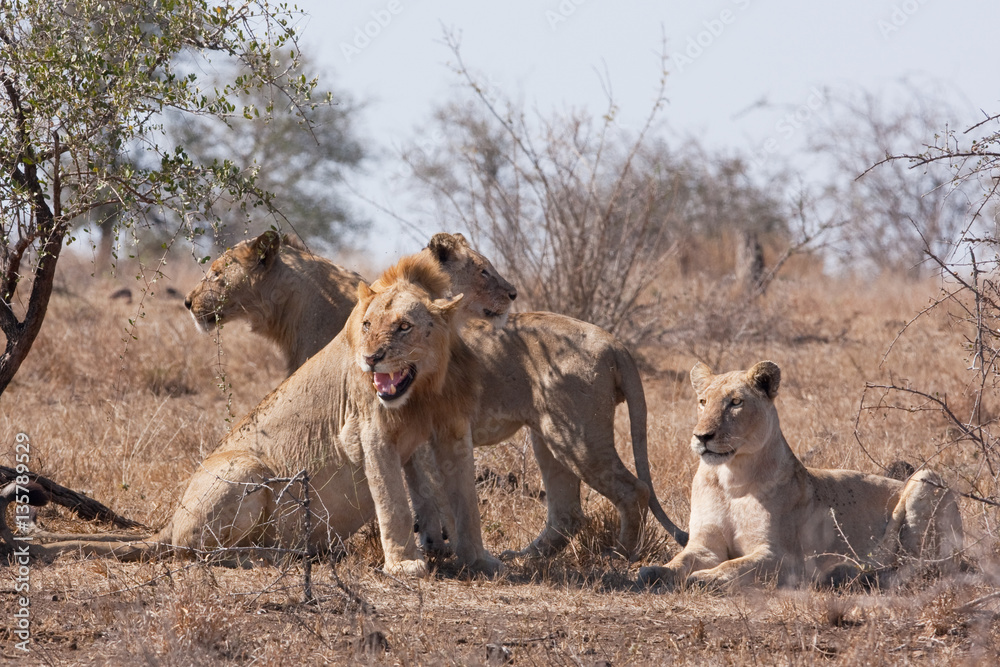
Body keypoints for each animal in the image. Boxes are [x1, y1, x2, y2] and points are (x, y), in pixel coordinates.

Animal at [30, 253, 501, 578]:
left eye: (404, 326)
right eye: (367, 326)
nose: (371, 359)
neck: (424, 388)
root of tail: (170, 521)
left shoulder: (452, 432)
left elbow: (462, 500)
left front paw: (478, 559)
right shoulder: (370, 432)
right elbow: (394, 503)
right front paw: (405, 564)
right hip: (249, 469)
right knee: (200, 552)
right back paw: (282, 553)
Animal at [184, 232, 688, 558]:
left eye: (216, 272)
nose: (189, 301)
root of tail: (613, 340)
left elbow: (417, 488)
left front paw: (428, 543)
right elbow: (421, 487)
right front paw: (436, 543)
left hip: (578, 436)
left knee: (633, 491)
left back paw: (621, 557)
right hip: (548, 438)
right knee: (566, 514)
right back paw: (523, 557)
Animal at [638, 360, 964, 590]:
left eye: (735, 402)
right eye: (703, 402)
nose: (702, 436)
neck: (731, 478)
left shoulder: (784, 558)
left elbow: (736, 566)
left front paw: (704, 578)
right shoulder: (704, 544)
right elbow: (680, 561)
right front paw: (653, 572)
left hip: (925, 479)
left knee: (922, 566)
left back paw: (847, 573)